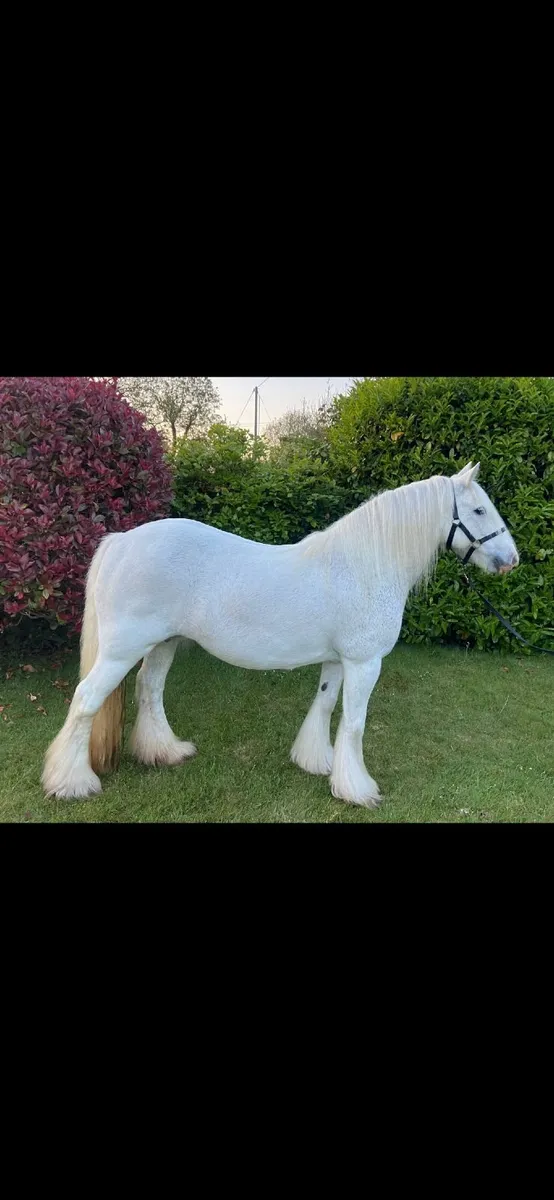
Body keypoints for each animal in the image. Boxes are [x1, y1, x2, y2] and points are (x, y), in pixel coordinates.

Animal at [42, 462, 519, 808]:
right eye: (479, 511)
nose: (510, 559)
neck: (364, 564)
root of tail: (122, 541)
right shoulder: (365, 663)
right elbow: (355, 723)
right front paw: (358, 790)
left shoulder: (337, 660)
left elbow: (324, 705)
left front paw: (316, 762)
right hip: (122, 650)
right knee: (86, 700)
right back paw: (71, 783)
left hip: (162, 644)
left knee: (149, 689)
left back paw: (166, 752)